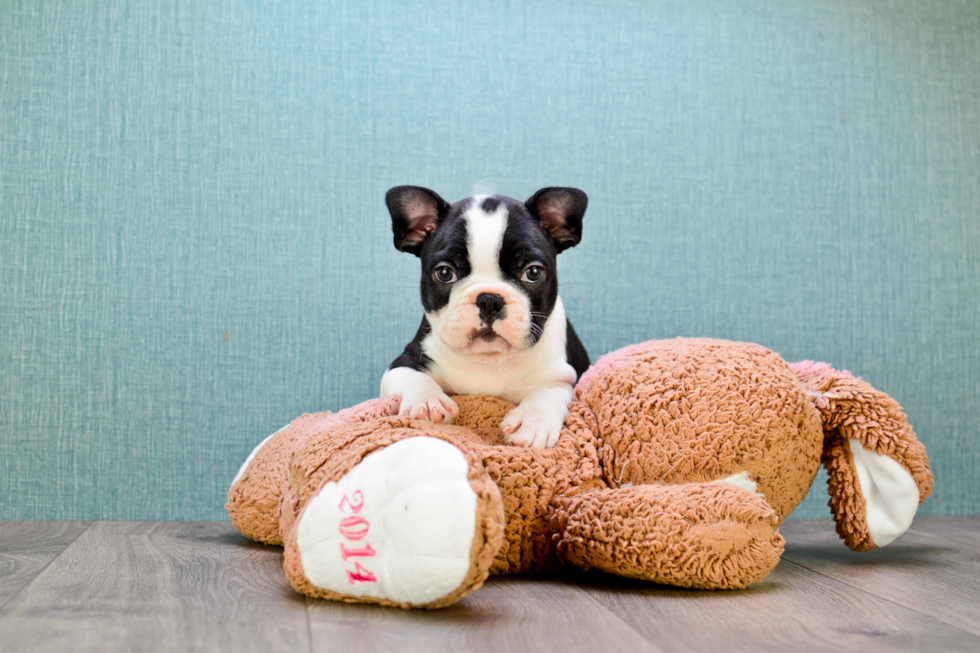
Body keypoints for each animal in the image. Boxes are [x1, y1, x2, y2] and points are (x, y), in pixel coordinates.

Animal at [380, 186, 588, 446]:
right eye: (445, 273)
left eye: (533, 272)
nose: (490, 300)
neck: (489, 358)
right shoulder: (404, 361)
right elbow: (413, 377)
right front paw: (427, 401)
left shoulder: (563, 376)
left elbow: (547, 392)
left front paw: (533, 421)